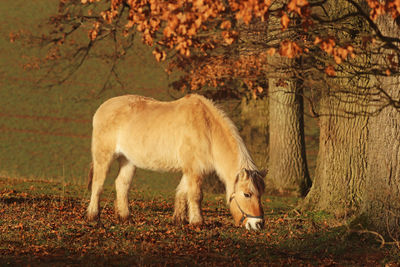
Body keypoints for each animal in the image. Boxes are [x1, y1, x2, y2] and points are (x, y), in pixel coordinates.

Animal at [87, 93, 266, 230]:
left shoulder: (190, 170)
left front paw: (178, 220)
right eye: (247, 194)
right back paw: (93, 216)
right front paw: (197, 222)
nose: (258, 224)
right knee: (98, 184)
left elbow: (181, 192)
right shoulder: (194, 170)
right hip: (103, 157)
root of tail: (102, 108)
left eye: (260, 194)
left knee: (122, 184)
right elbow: (195, 195)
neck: (207, 129)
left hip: (128, 160)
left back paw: (125, 218)